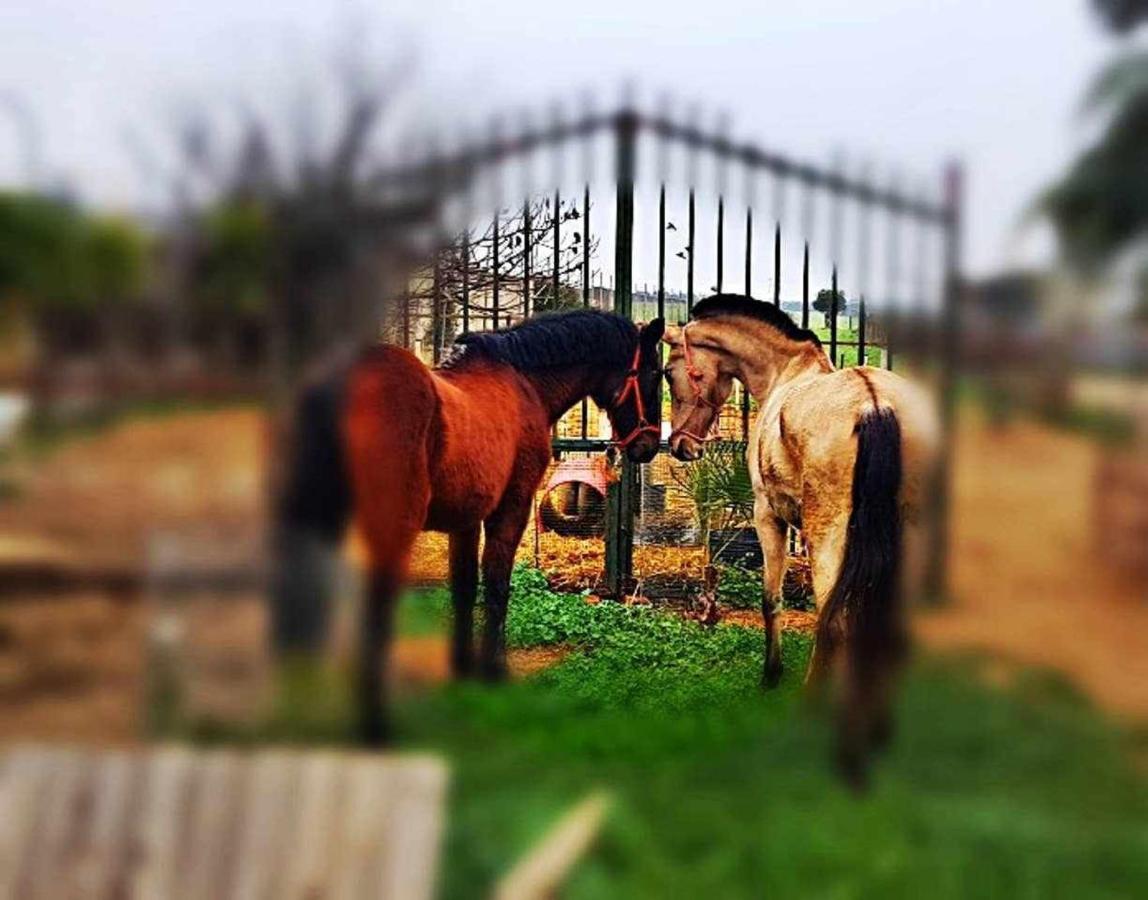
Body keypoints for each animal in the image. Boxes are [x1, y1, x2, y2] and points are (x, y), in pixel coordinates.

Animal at [273, 312, 665, 743]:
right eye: (653, 372)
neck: (524, 381)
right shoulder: (510, 509)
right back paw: (375, 723)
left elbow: (463, 587)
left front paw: (462, 669)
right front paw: (494, 671)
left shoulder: (466, 519)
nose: (647, 445)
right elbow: (496, 585)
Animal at [661, 293, 936, 780]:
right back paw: (879, 729)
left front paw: (771, 674)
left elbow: (772, 600)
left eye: (670, 373)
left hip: (829, 539)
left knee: (836, 621)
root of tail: (875, 403)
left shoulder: (769, 517)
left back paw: (820, 717)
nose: (681, 445)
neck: (786, 372)